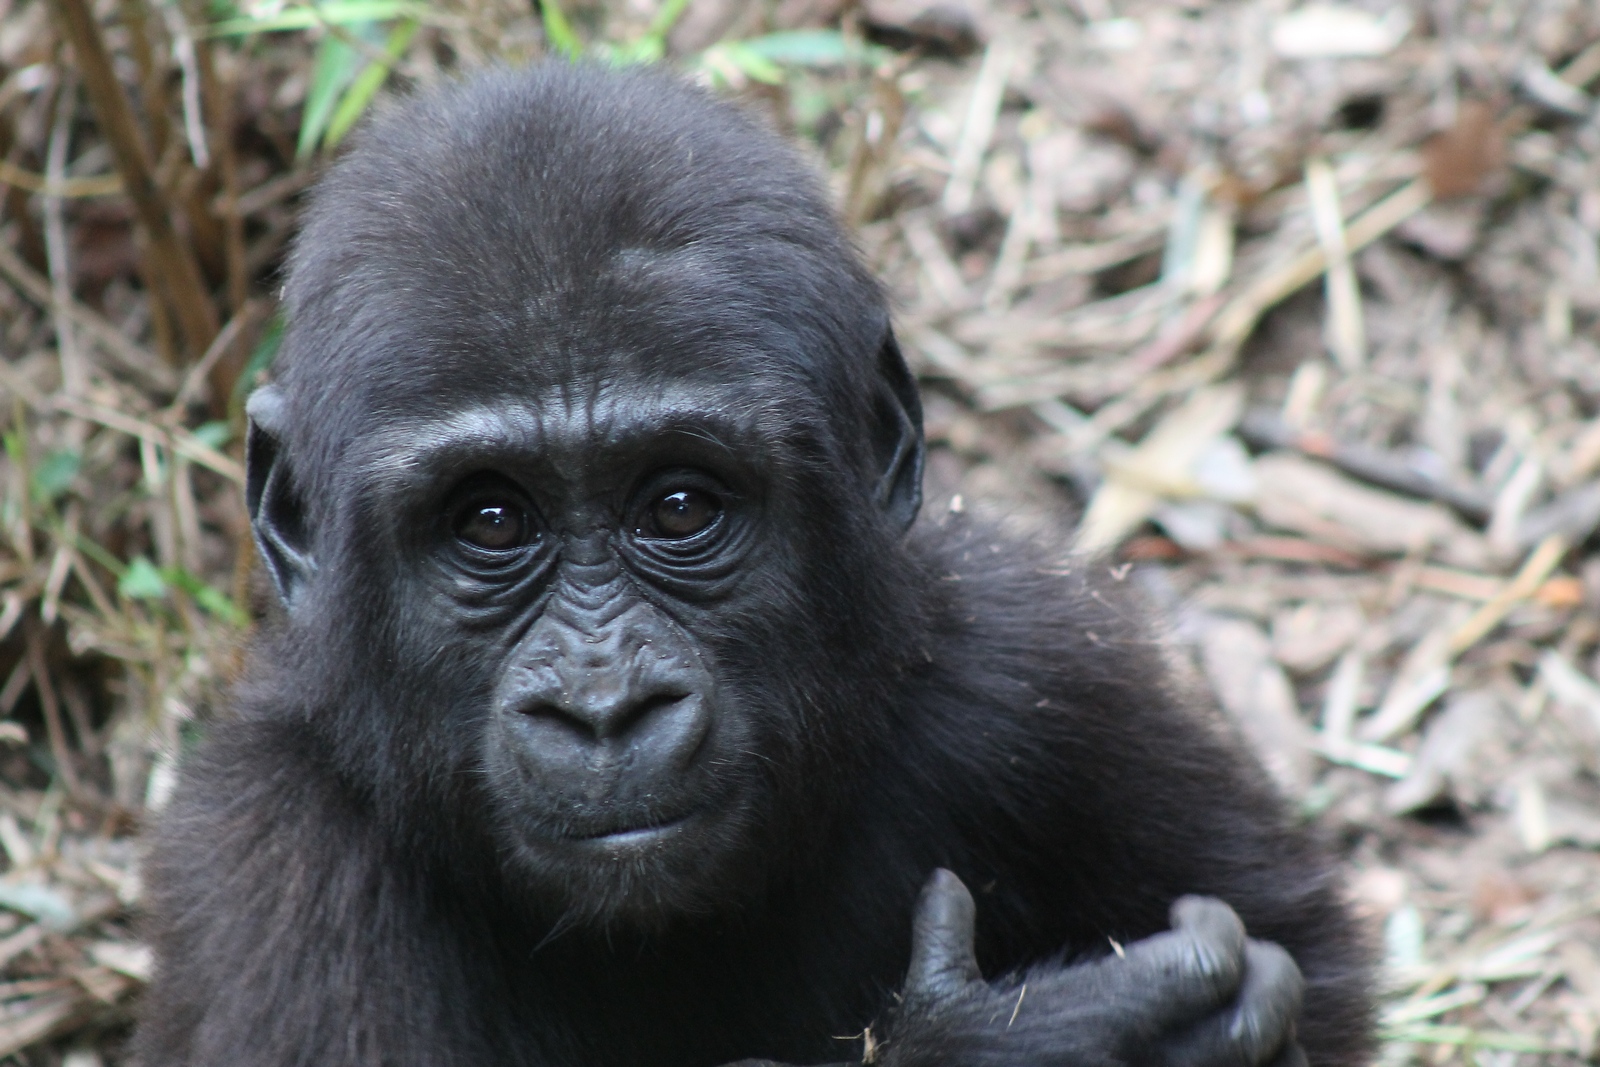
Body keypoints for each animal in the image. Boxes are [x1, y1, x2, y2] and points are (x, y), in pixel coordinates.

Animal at [134, 64, 1376, 1067]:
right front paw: (1036, 1042)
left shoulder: (1047, 663)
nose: (605, 706)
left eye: (680, 504)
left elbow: (1302, 953)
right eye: (489, 521)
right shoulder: (270, 863)